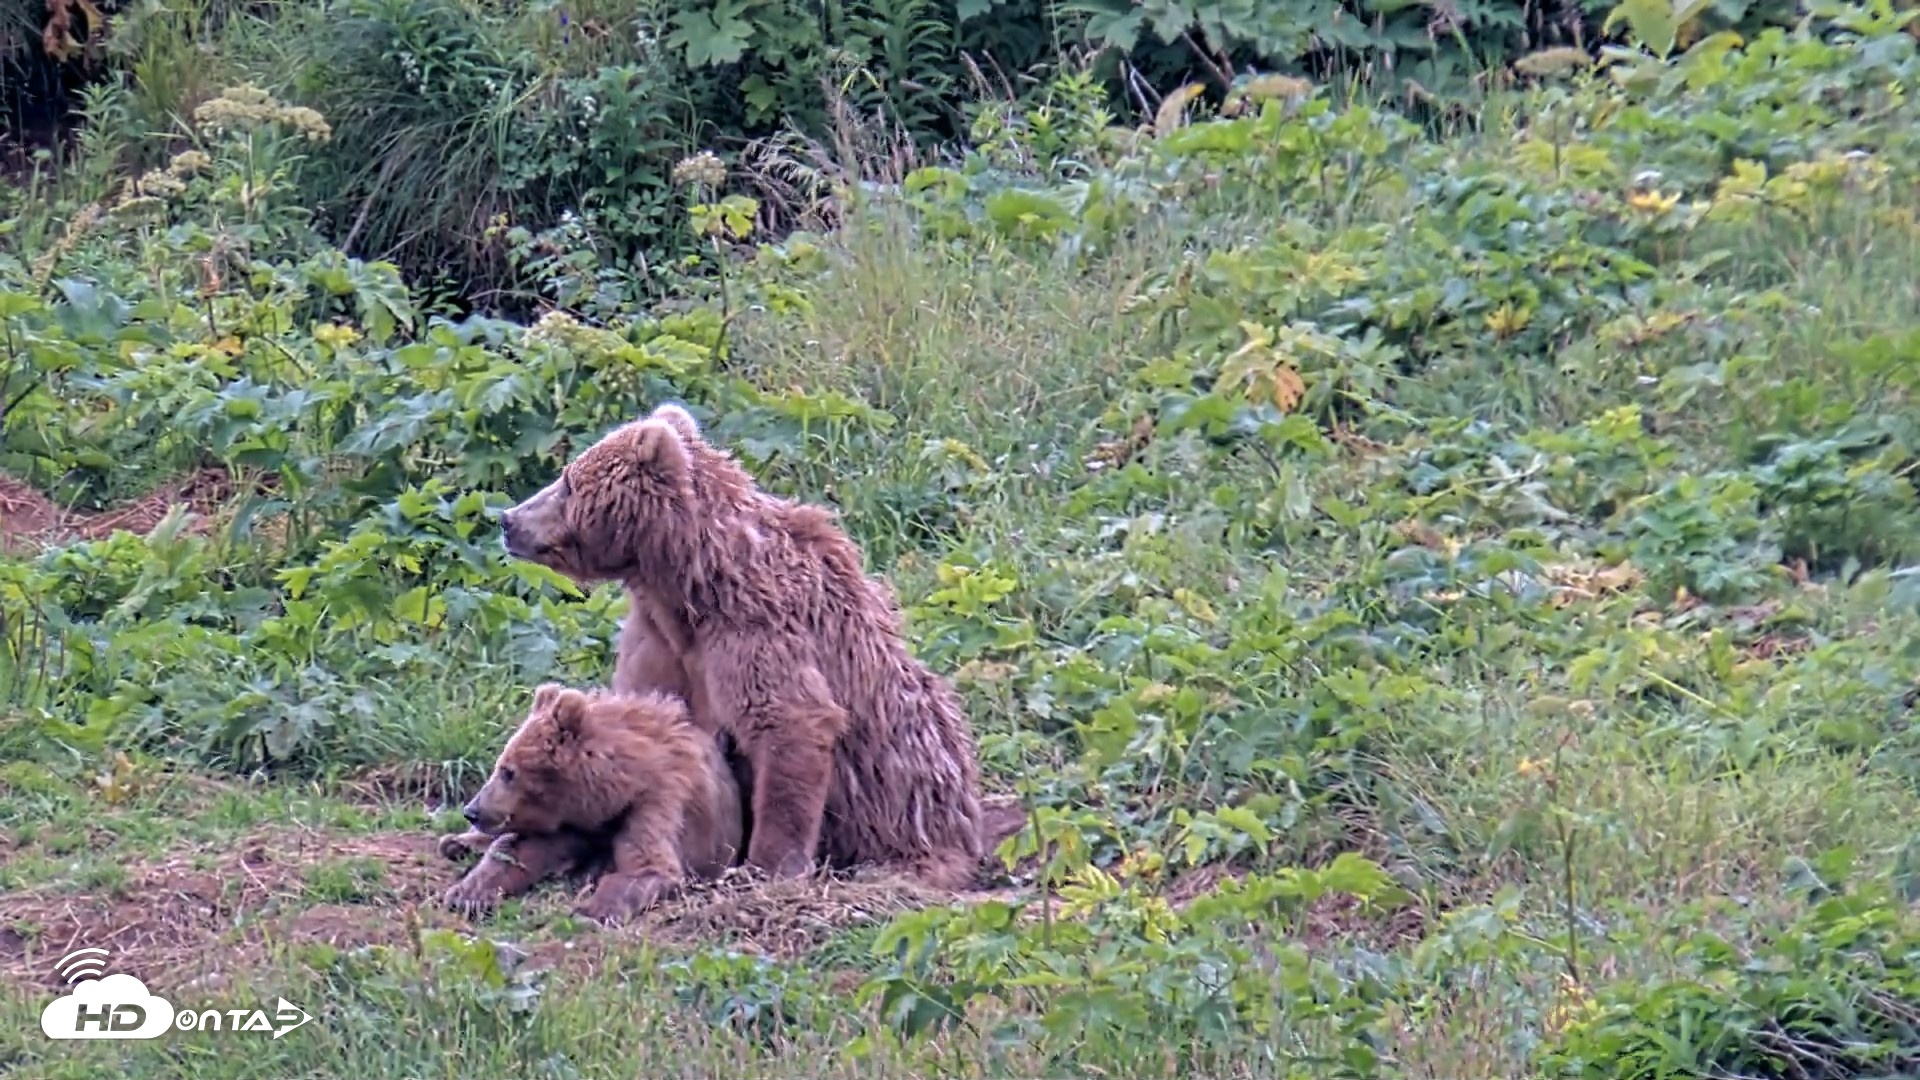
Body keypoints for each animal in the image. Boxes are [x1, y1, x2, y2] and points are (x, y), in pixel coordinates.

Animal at [438, 682, 745, 925]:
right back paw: (456, 842)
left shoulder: (658, 802)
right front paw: (468, 894)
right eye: (501, 766)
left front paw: (590, 911)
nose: (472, 811)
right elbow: (518, 851)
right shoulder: (571, 823)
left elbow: (648, 867)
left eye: (508, 772)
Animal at [497, 402, 1025, 891]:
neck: (690, 581)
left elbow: (787, 722)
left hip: (907, 799)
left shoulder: (755, 627)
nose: (507, 519)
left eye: (568, 481)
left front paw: (765, 866)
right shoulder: (660, 636)